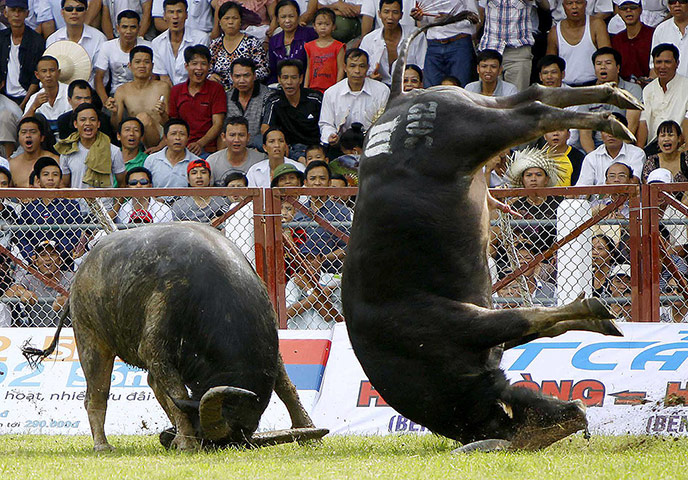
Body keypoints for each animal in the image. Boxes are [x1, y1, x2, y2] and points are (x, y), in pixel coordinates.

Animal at [24, 222, 327, 451]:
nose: (166, 438)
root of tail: (81, 273)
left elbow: (287, 387)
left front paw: (307, 430)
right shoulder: (155, 349)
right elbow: (178, 393)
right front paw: (187, 443)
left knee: (151, 385)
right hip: (92, 341)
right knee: (96, 395)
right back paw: (103, 445)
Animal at [342, 13, 635, 452]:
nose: (571, 418)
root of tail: (396, 101)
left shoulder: (466, 324)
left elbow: (529, 317)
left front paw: (596, 309)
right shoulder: (484, 328)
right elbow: (543, 322)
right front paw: (598, 318)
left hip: (473, 133)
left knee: (535, 110)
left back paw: (611, 119)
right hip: (482, 112)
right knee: (535, 94)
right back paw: (614, 99)